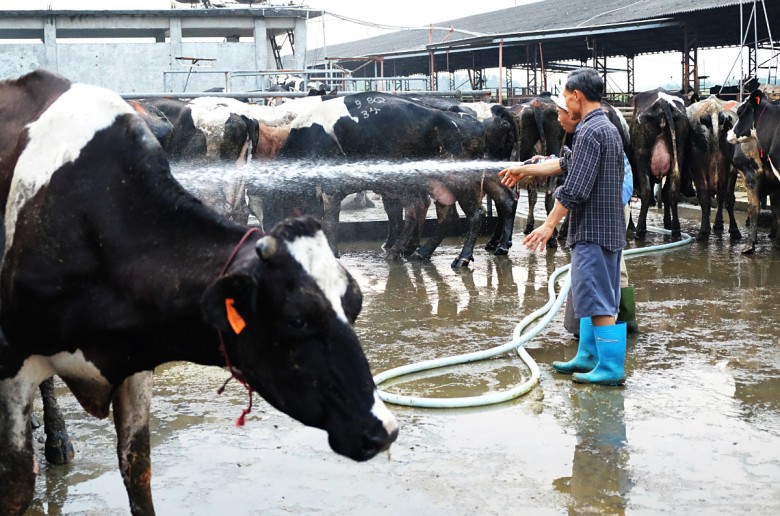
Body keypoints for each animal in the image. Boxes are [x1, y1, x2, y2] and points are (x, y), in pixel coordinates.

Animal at [0, 69, 396, 516]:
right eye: (297, 319)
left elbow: (137, 469)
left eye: (353, 304)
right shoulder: (14, 362)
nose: (382, 427)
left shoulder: (137, 361)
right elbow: (17, 486)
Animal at [628, 88, 688, 238]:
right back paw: (676, 230)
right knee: (672, 190)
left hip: (642, 155)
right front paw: (667, 222)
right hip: (679, 153)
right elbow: (666, 192)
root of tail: (663, 101)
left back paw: (640, 230)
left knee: (647, 191)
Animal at [684, 94, 740, 240]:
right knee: (727, 197)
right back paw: (734, 230)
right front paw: (718, 223)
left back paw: (703, 231)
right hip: (729, 167)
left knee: (704, 197)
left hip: (698, 168)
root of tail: (714, 110)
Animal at [724, 89, 780, 253]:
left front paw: (750, 244)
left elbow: (755, 207)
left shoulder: (751, 175)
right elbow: (774, 210)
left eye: (741, 112)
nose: (728, 134)